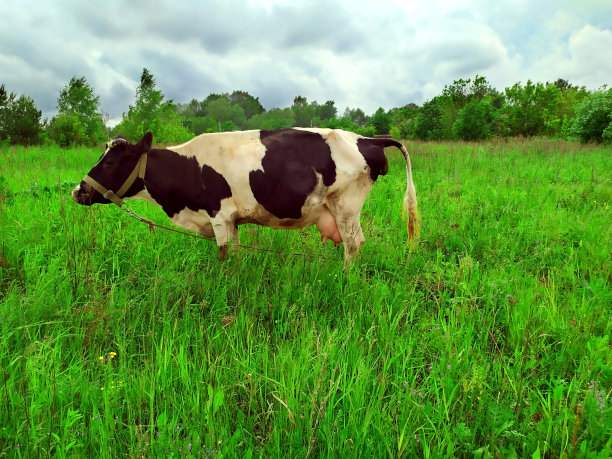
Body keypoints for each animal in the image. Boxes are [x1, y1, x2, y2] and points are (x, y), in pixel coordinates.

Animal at [70, 127, 416, 260]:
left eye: (110, 161)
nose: (77, 191)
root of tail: (367, 138)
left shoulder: (219, 215)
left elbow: (224, 256)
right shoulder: (231, 220)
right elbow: (235, 254)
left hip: (346, 206)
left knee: (354, 245)